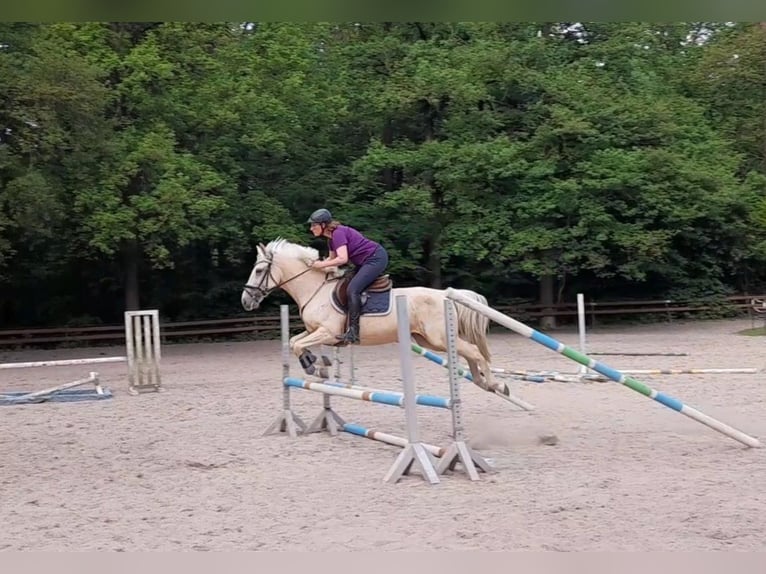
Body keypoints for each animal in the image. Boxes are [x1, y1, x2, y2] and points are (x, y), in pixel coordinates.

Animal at [242, 238, 510, 400]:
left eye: (259, 270)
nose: (246, 301)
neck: (315, 289)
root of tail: (444, 294)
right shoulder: (315, 331)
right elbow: (294, 342)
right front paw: (315, 363)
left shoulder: (327, 332)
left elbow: (298, 344)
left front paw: (312, 366)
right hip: (429, 341)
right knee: (469, 353)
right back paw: (482, 382)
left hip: (439, 337)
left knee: (474, 351)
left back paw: (497, 385)